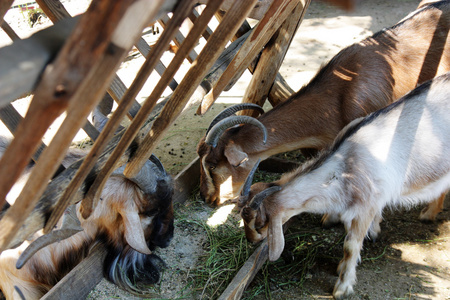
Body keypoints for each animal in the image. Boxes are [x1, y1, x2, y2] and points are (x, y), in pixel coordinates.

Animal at [239, 72, 450, 298]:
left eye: (260, 222)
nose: (251, 240)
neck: (346, 162)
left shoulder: (367, 205)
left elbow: (350, 245)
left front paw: (342, 287)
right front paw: (343, 266)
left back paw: (428, 214)